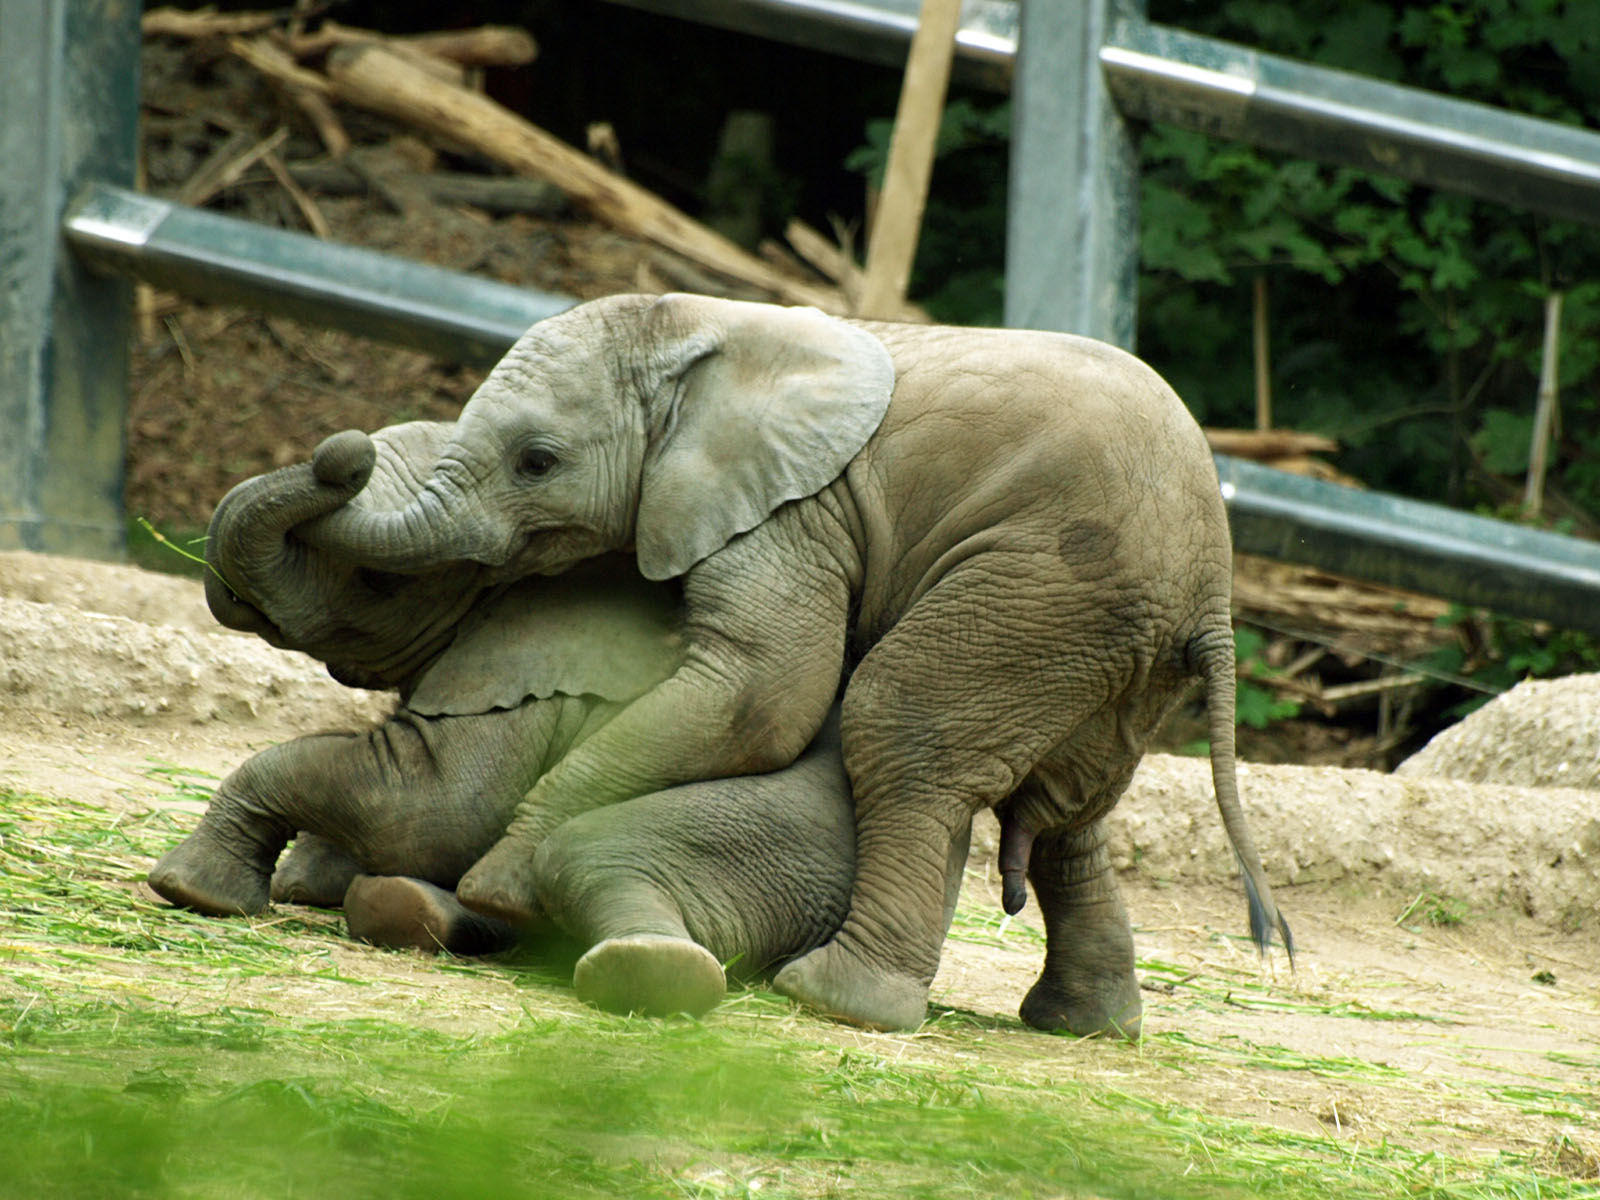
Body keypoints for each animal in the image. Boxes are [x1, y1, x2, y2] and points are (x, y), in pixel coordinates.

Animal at [298, 293, 1294, 1033]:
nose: (341, 455)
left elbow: (764, 693)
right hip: (1107, 639)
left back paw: (834, 1000)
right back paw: (1085, 1025)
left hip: (1042, 585)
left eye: (536, 462)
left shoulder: (795, 515)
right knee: (1066, 816)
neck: (707, 328)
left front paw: (499, 885)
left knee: (898, 725)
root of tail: (1213, 588)